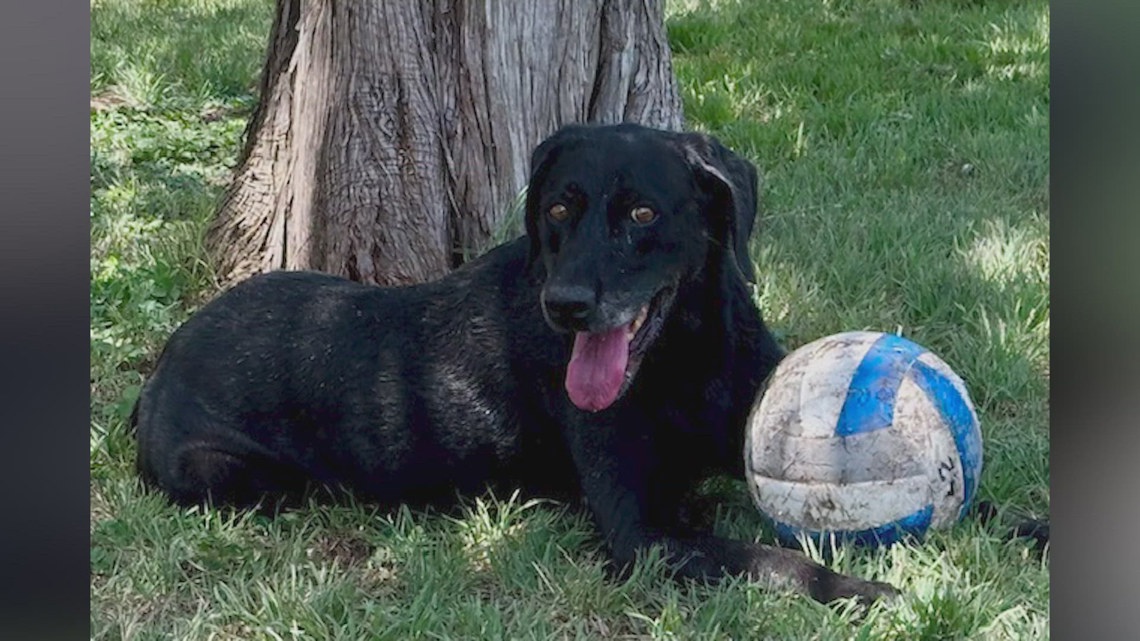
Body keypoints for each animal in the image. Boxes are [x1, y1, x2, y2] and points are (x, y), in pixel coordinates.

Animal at [133, 122, 898, 602]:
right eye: (558, 208)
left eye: (643, 213)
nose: (566, 305)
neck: (686, 356)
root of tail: (163, 362)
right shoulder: (643, 533)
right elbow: (774, 561)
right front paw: (864, 588)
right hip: (227, 473)